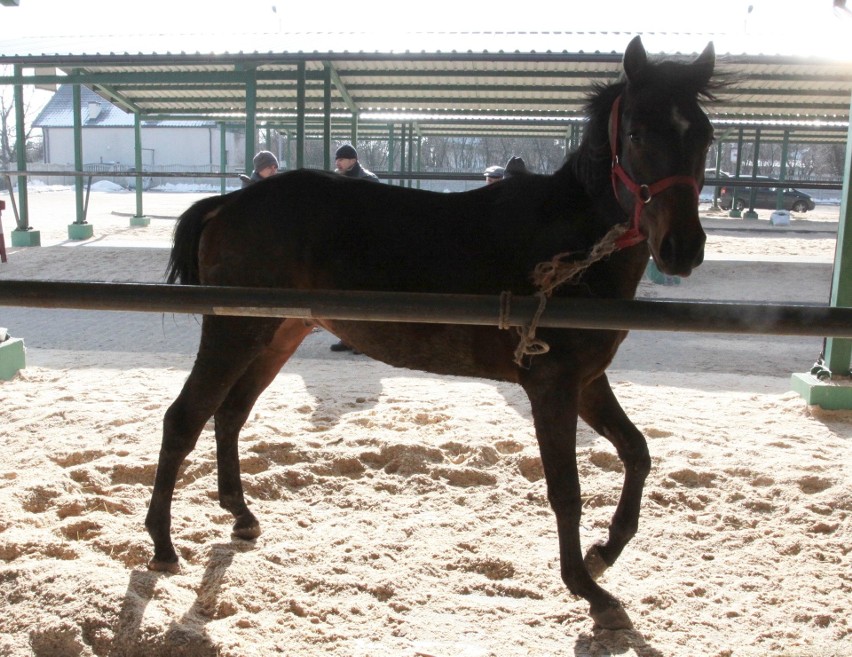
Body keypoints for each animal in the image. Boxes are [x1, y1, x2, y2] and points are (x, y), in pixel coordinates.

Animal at [148, 37, 720, 632]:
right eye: (636, 133)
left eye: (704, 134)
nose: (682, 248)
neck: (568, 249)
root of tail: (228, 203)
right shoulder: (552, 385)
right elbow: (566, 489)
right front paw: (588, 589)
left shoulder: (586, 381)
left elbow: (637, 452)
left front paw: (605, 550)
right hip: (233, 333)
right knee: (184, 419)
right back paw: (163, 546)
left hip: (276, 335)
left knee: (229, 414)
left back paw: (241, 514)